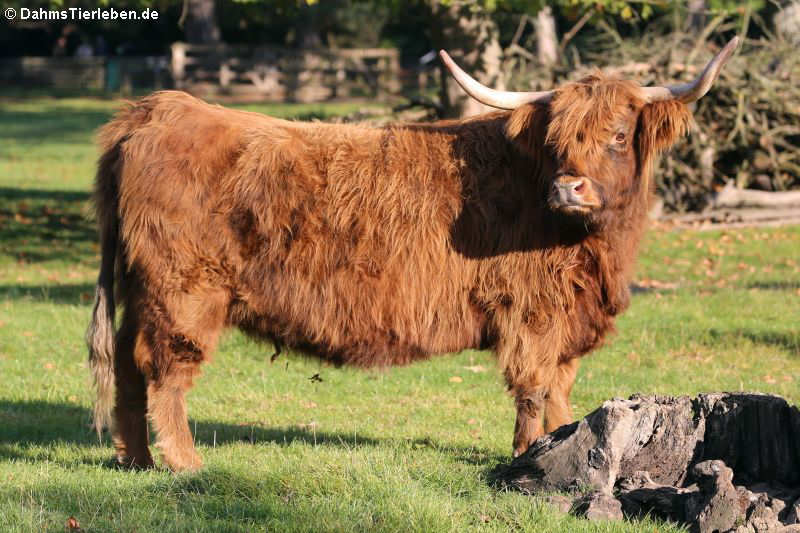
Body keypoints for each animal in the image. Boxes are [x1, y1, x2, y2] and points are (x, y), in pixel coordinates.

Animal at [86, 37, 736, 470]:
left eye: (619, 135)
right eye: (556, 142)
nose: (567, 187)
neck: (594, 248)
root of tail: (159, 109)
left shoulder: (566, 320)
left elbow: (561, 391)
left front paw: (565, 449)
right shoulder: (531, 314)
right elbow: (533, 388)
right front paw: (529, 457)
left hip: (143, 290)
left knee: (127, 364)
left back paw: (136, 459)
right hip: (184, 292)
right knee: (163, 370)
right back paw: (184, 464)